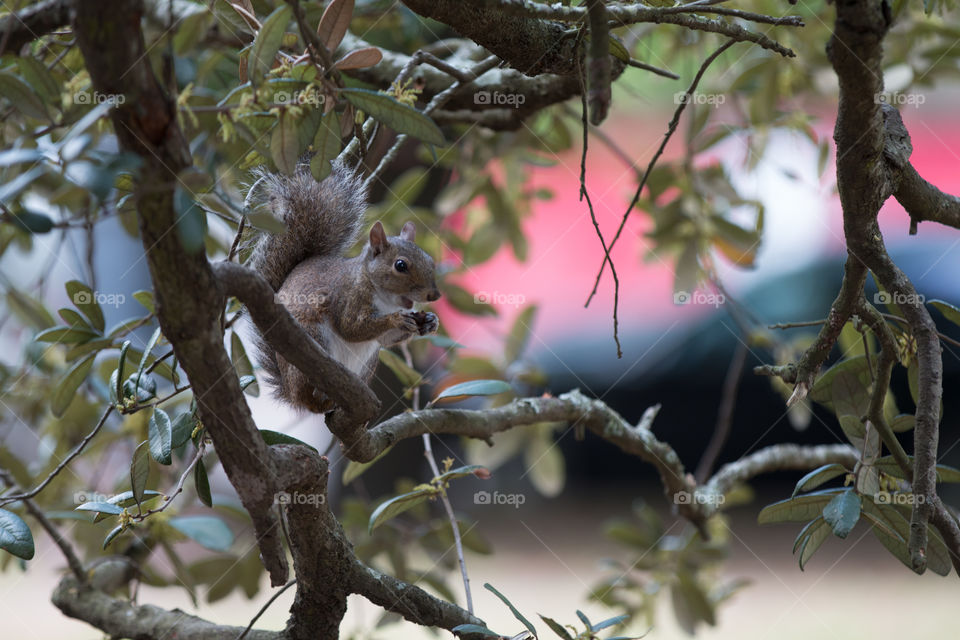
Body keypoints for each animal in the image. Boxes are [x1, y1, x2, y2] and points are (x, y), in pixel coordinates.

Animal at [248, 162, 442, 412]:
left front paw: (430, 322)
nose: (434, 295)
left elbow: (386, 339)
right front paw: (396, 319)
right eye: (400, 265)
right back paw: (318, 394)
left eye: (430, 260)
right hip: (311, 340)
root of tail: (291, 394)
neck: (385, 299)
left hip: (368, 361)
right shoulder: (347, 297)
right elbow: (350, 328)